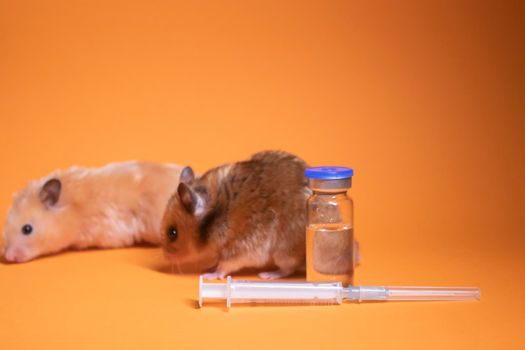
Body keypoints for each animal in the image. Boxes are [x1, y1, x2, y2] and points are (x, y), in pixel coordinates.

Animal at [160, 150, 308, 278]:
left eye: (173, 233)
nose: (165, 257)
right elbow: (217, 261)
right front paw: (207, 268)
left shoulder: (241, 248)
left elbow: (224, 265)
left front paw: (209, 275)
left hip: (284, 253)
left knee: (288, 269)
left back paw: (267, 275)